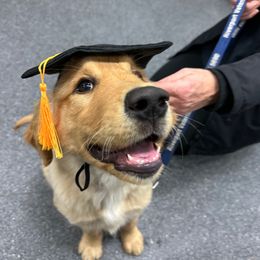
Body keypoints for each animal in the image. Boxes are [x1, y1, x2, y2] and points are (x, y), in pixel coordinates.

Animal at [16, 43, 177, 260]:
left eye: (137, 74)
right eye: (84, 86)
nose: (152, 99)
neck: (109, 184)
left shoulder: (138, 205)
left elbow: (130, 222)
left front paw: (132, 239)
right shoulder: (81, 215)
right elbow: (92, 229)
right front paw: (91, 247)